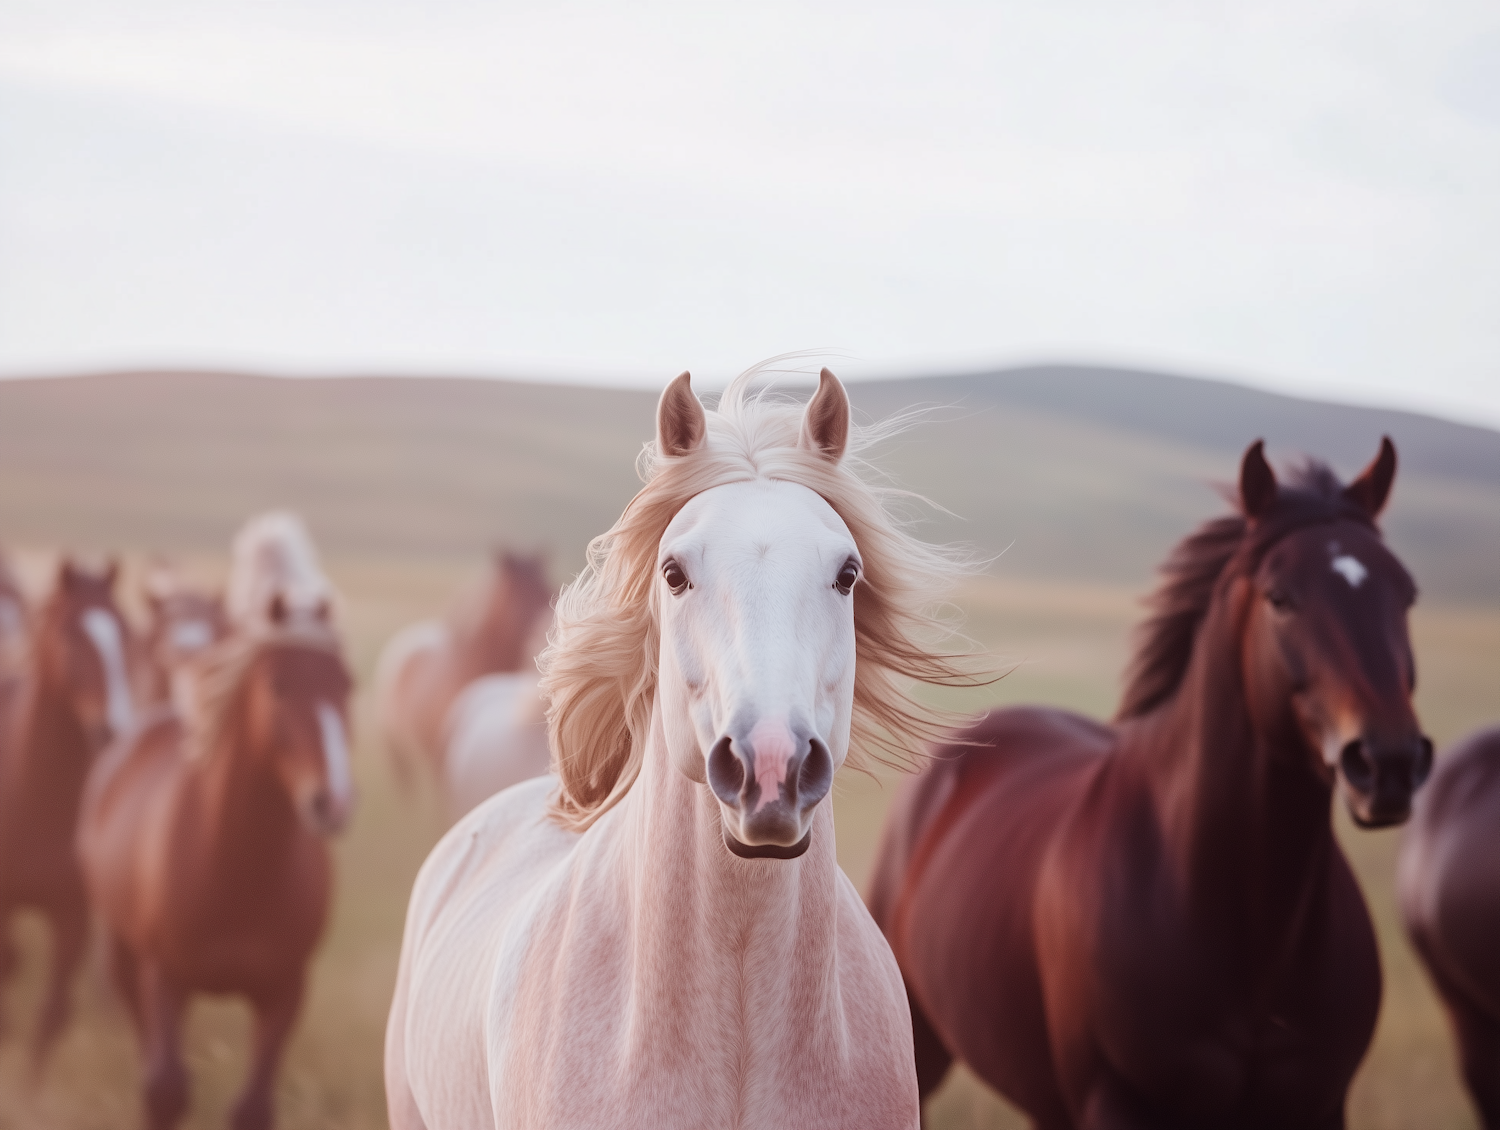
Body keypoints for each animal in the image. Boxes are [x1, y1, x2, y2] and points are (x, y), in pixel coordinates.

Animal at [79, 516, 354, 1128]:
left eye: (348, 685)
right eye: (279, 685)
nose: (333, 801)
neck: (235, 865)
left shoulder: (284, 990)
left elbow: (252, 1107)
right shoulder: (165, 977)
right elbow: (165, 1088)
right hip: (125, 960)